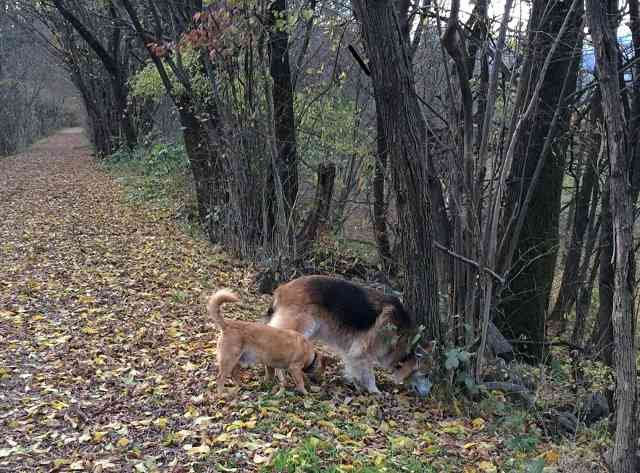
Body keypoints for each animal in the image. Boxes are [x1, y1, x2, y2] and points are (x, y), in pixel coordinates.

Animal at [262, 274, 432, 396]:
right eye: (426, 375)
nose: (428, 394)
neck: (401, 337)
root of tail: (281, 289)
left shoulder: (352, 351)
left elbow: (354, 368)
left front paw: (357, 385)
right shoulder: (364, 351)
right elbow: (369, 374)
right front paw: (374, 391)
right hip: (301, 327)